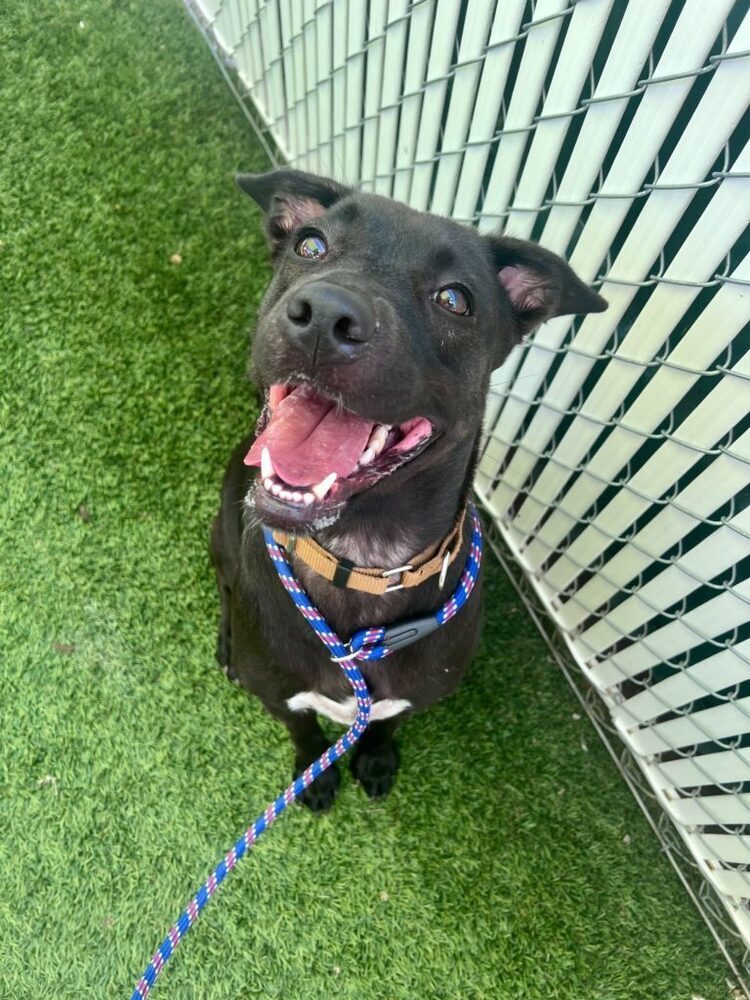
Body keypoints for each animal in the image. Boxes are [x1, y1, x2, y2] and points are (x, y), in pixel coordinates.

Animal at [210, 170, 604, 812]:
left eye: (454, 299)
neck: (365, 559)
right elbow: (303, 730)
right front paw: (315, 776)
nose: (324, 316)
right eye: (311, 245)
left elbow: (385, 723)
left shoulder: (413, 696)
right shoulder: (280, 695)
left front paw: (374, 758)